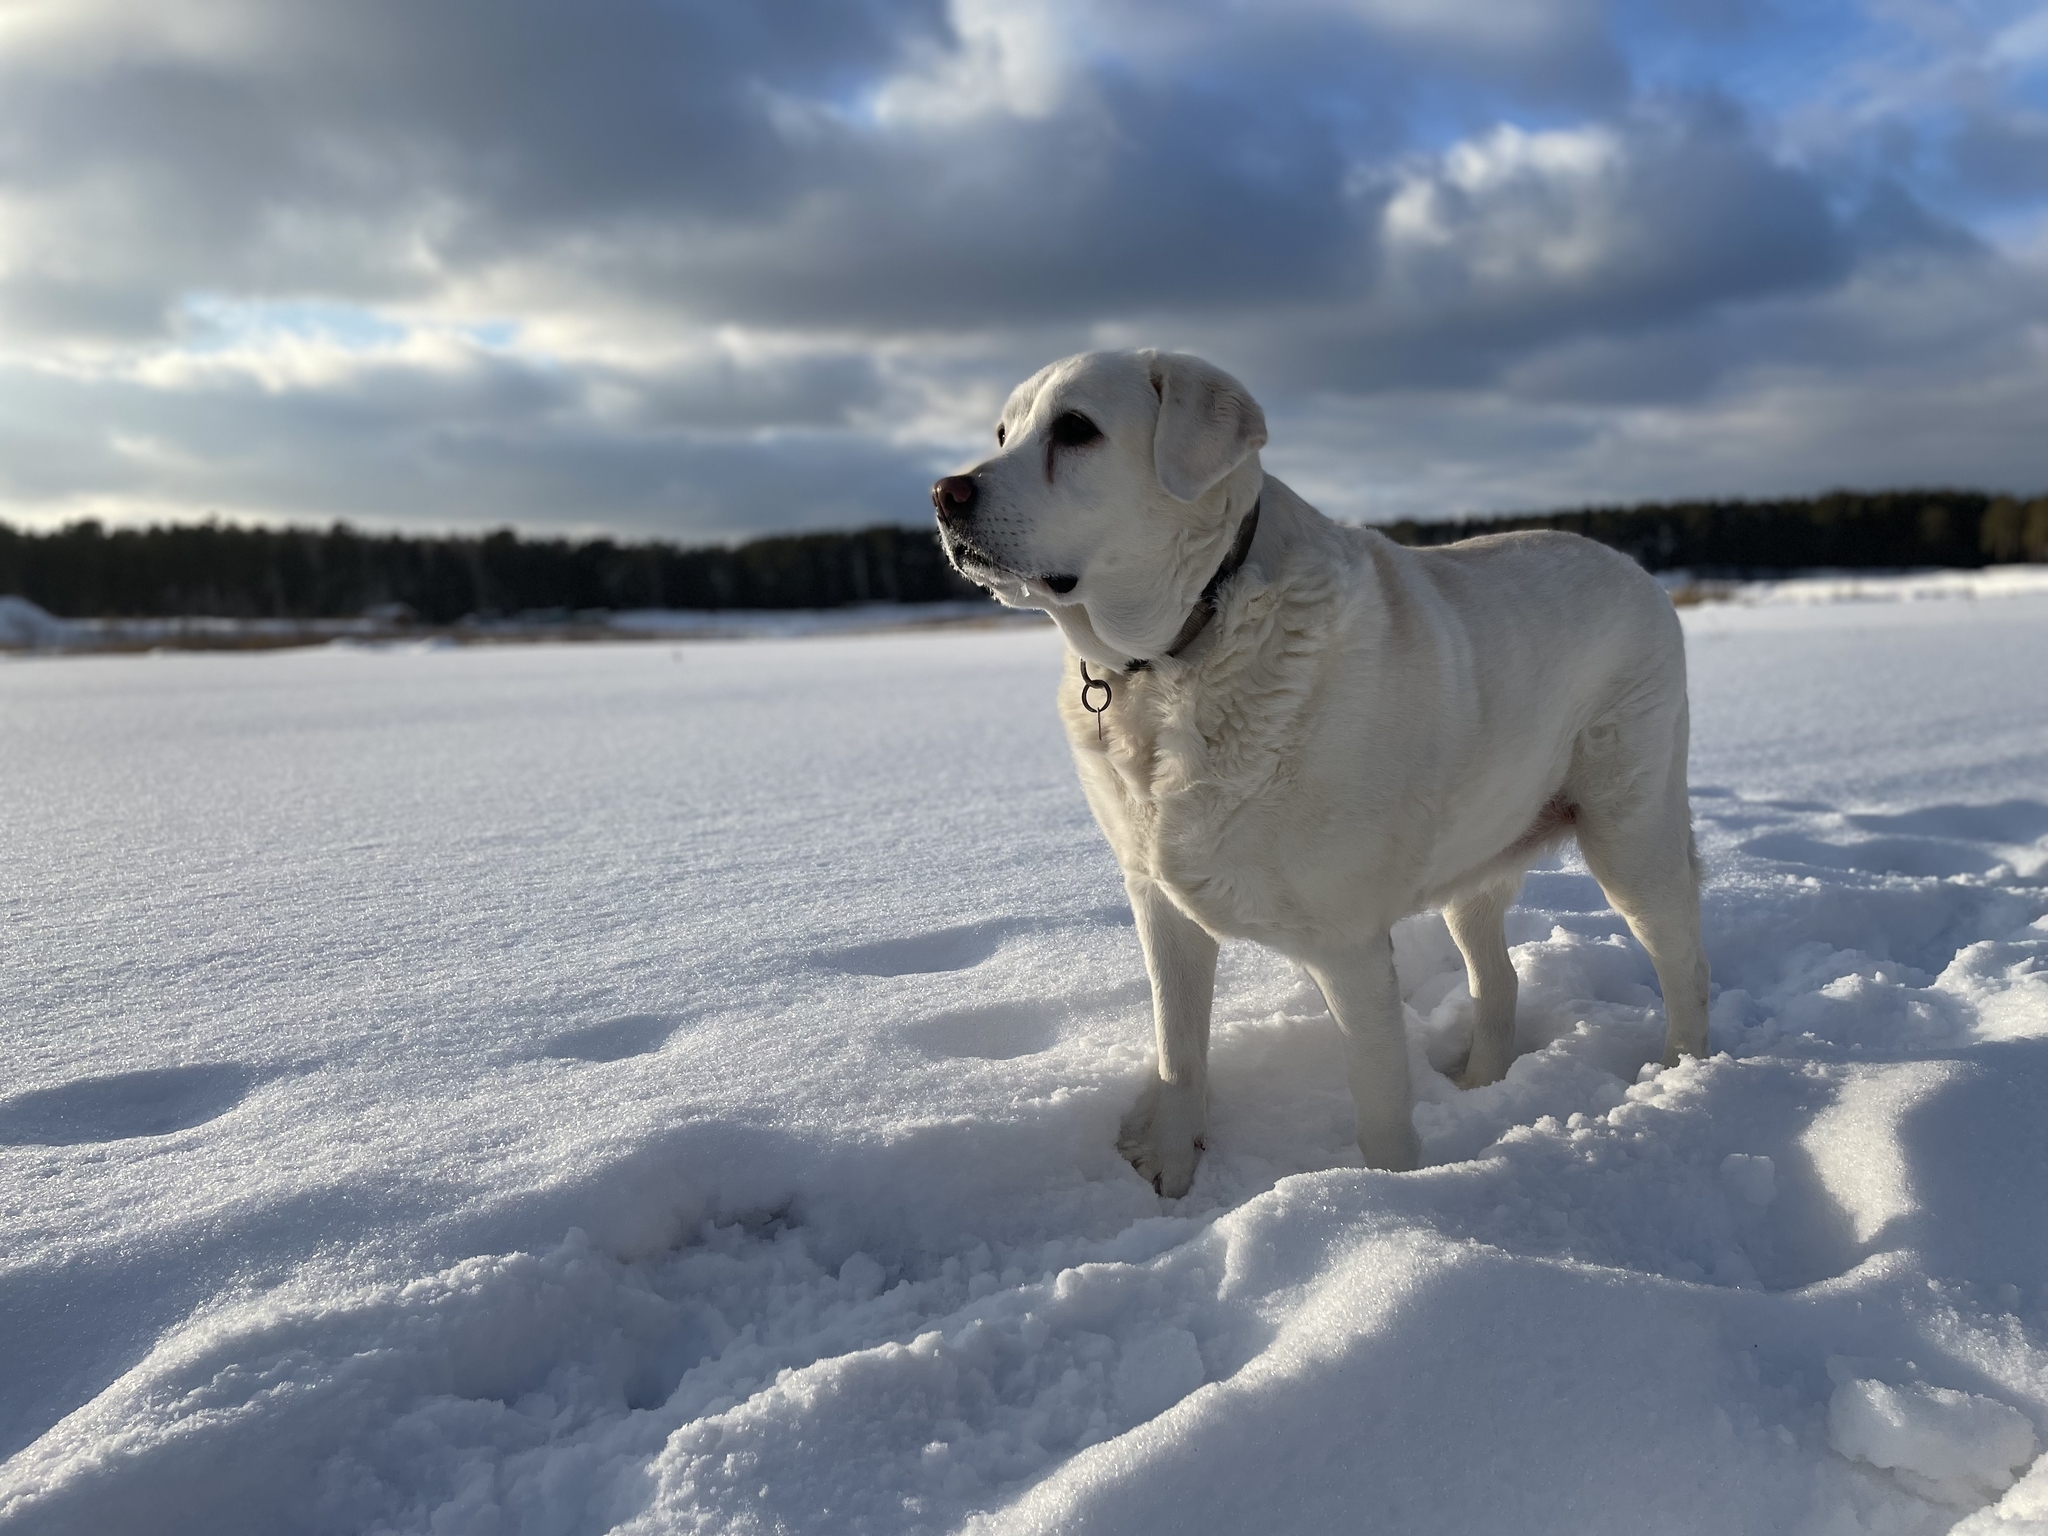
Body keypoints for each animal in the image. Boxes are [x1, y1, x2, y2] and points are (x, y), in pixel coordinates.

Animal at [937, 352, 1703, 1204]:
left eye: (1075, 428)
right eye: (1002, 433)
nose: (945, 494)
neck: (1182, 647)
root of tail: (1636, 569)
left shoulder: (1349, 945)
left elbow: (1379, 1107)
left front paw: (1389, 1206)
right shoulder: (1157, 900)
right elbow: (1178, 1049)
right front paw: (1169, 1170)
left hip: (1631, 832)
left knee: (1681, 956)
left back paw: (1686, 1074)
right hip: (1477, 860)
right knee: (1497, 977)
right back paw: (1481, 1083)